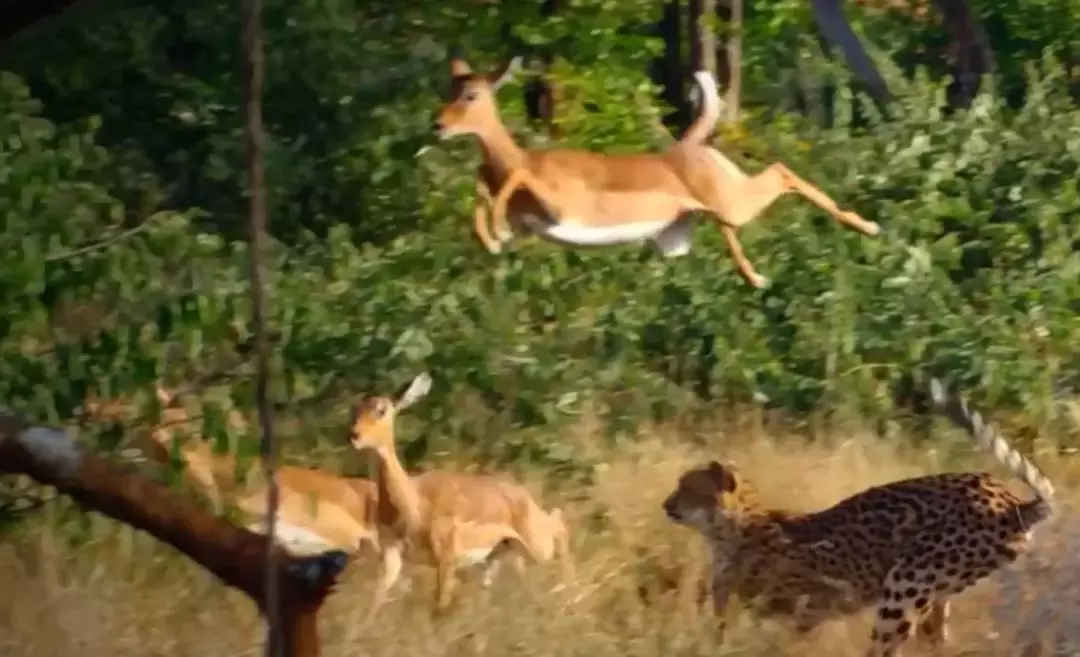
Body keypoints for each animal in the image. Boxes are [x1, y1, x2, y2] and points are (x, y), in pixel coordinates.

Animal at [660, 380, 1058, 657]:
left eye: (686, 487)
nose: (666, 505)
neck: (731, 527)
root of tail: (1008, 499)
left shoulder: (819, 596)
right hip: (935, 595)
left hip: (904, 587)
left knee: (885, 648)